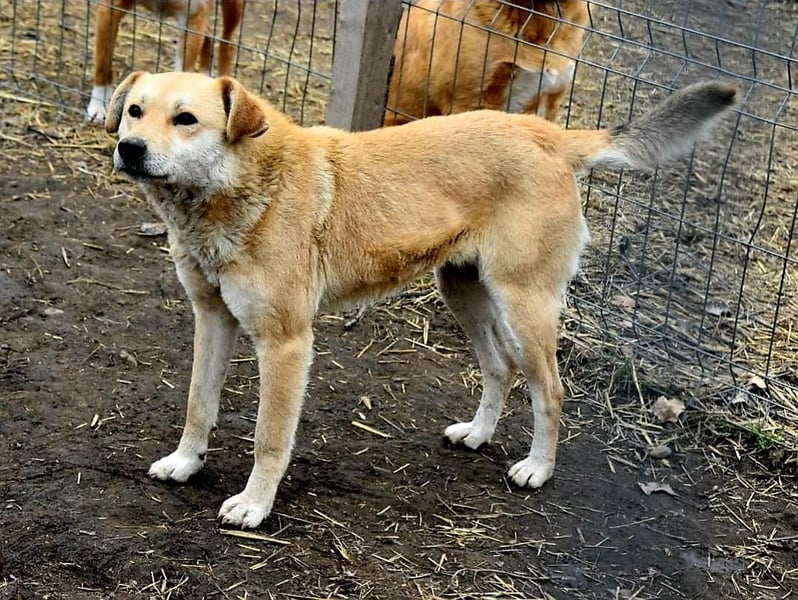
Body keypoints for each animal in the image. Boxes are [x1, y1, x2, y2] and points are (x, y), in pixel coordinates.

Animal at [86, 0, 243, 123]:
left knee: (227, 44)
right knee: (208, 34)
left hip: (232, 9)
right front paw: (98, 106)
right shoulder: (110, 9)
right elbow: (102, 63)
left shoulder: (192, 20)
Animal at [105, 70, 735, 528]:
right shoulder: (212, 319)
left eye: (186, 119)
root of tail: (548, 134)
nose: (129, 149)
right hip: (463, 291)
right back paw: (478, 434)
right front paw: (186, 463)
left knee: (550, 390)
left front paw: (255, 504)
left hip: (523, 305)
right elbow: (198, 403)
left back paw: (537, 468)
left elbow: (269, 436)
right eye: (135, 110)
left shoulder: (286, 344)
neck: (236, 188)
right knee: (500, 368)